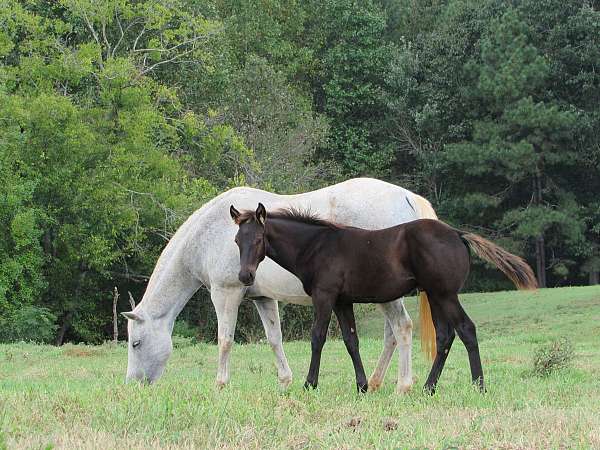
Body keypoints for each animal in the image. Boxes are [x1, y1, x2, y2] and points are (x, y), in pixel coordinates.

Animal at [120, 178, 436, 392]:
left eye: (136, 343)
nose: (132, 384)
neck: (209, 233)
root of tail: (406, 197)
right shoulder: (262, 298)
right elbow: (274, 338)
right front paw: (285, 381)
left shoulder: (226, 294)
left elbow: (225, 340)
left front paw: (220, 384)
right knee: (392, 335)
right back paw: (376, 381)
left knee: (402, 328)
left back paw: (403, 385)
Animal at [231, 202, 540, 392]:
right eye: (236, 241)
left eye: (258, 240)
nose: (245, 276)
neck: (317, 246)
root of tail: (457, 233)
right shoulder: (343, 301)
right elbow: (351, 341)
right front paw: (362, 386)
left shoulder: (325, 296)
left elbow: (317, 337)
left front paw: (310, 384)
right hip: (435, 295)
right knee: (445, 335)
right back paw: (428, 388)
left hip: (445, 293)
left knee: (466, 329)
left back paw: (478, 386)